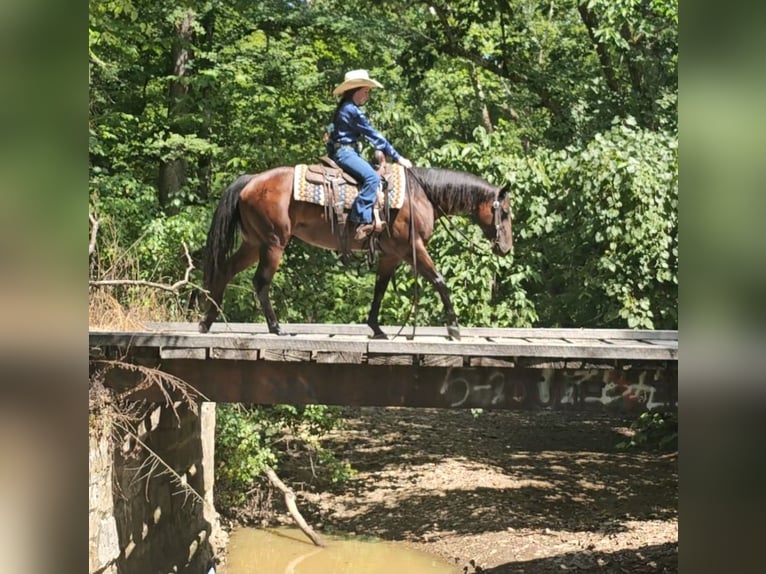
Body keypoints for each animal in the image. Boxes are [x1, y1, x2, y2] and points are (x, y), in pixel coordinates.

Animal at [198, 164, 513, 340]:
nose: (506, 247)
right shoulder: (412, 248)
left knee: (225, 270)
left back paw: (207, 322)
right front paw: (454, 328)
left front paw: (377, 328)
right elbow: (439, 281)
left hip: (254, 243)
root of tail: (251, 180)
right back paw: (276, 328)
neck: (419, 193)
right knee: (261, 283)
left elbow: (380, 288)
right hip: (273, 243)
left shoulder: (391, 254)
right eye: (506, 213)